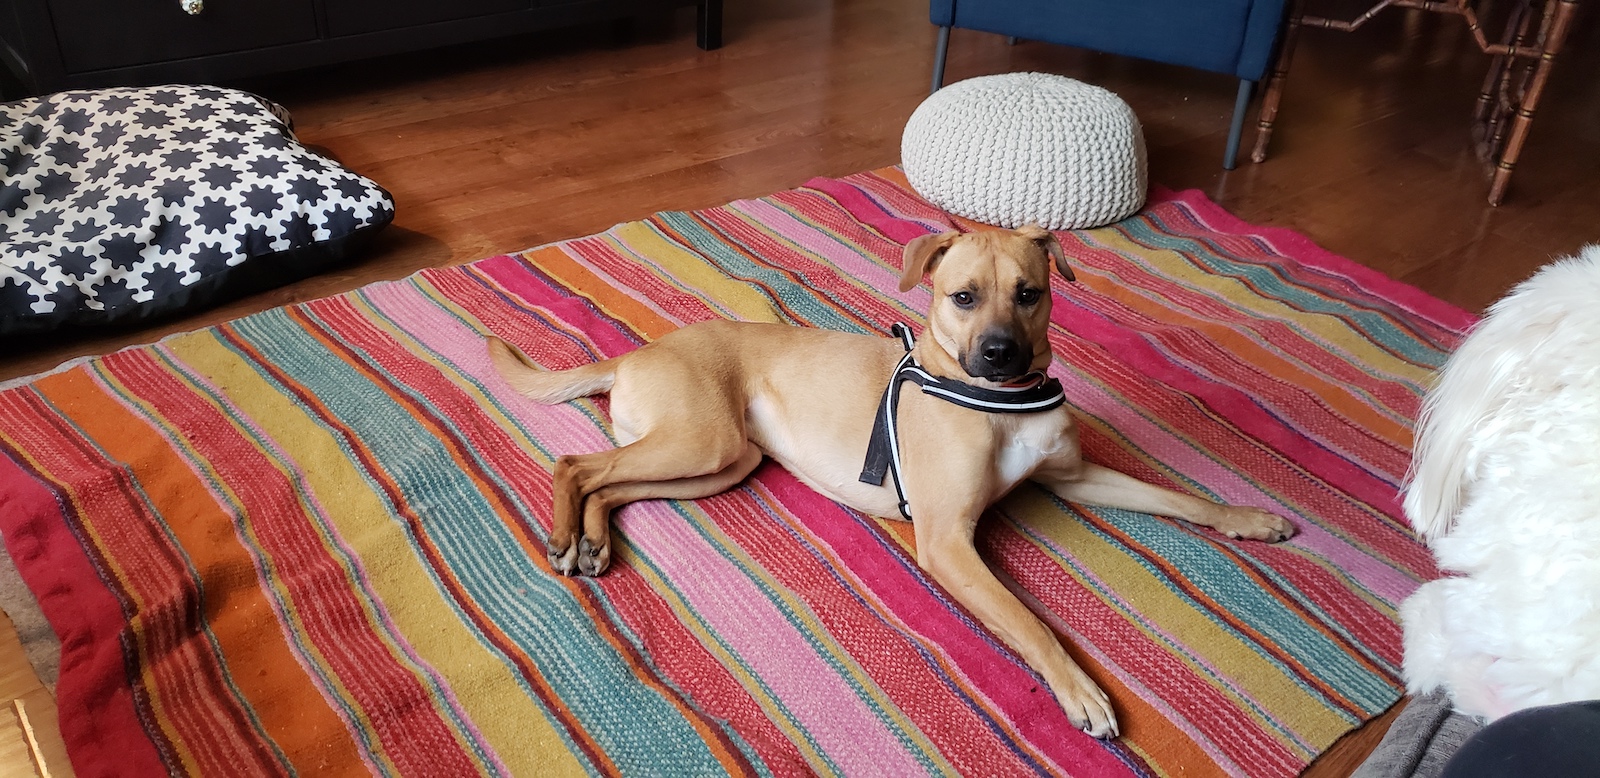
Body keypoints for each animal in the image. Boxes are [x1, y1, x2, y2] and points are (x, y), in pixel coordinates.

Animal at [488, 225, 1296, 738]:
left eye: (1029, 293)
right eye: (962, 296)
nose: (1000, 354)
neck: (998, 401)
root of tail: (635, 354)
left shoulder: (1075, 478)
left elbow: (1180, 497)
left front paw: (1251, 518)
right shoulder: (947, 543)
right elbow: (1029, 622)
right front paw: (1081, 692)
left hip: (720, 461)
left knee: (609, 485)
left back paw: (594, 541)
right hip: (702, 440)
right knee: (575, 466)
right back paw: (563, 537)